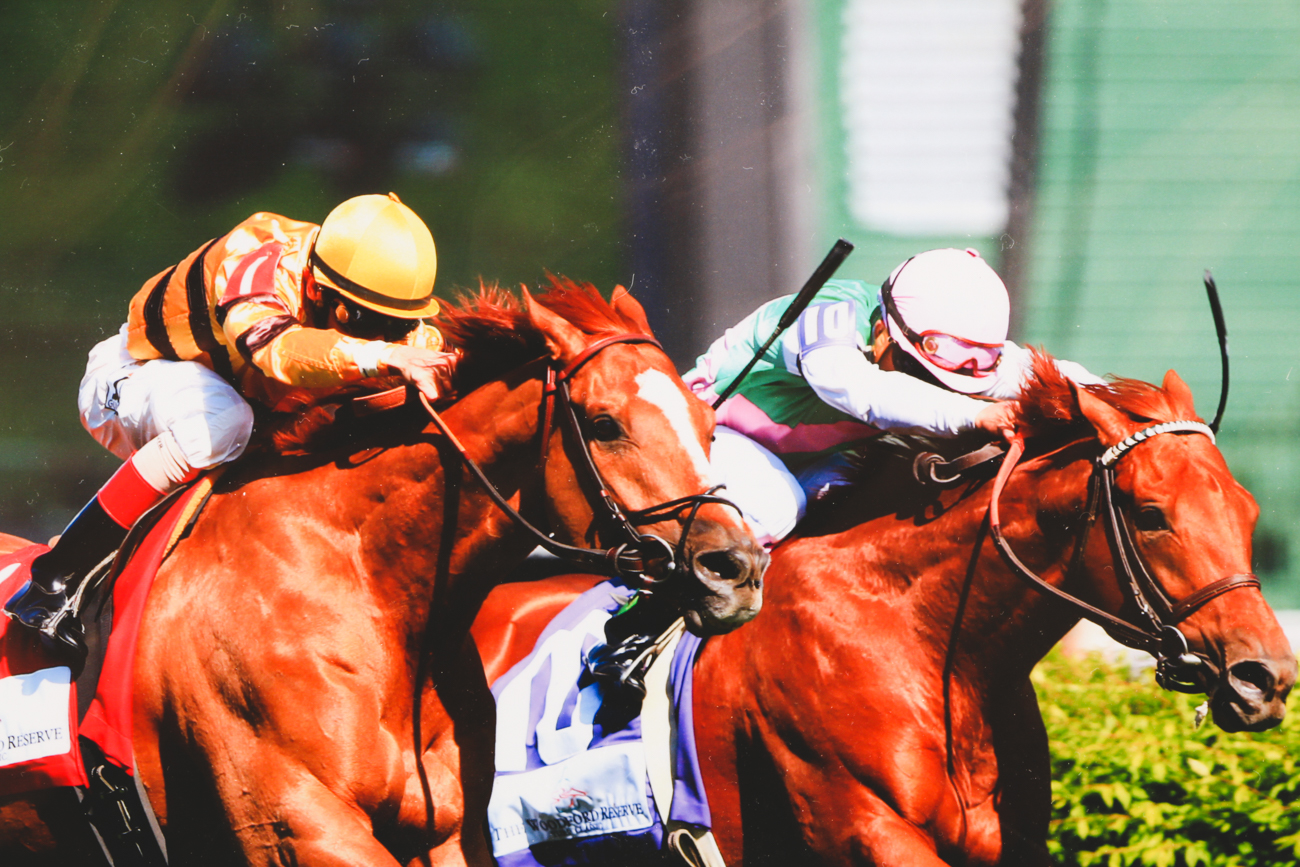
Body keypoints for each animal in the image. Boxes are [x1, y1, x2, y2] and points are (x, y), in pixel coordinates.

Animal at [0, 279, 766, 867]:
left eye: (709, 423)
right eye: (605, 423)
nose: (736, 567)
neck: (364, 586)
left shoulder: (447, 830)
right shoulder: (298, 829)